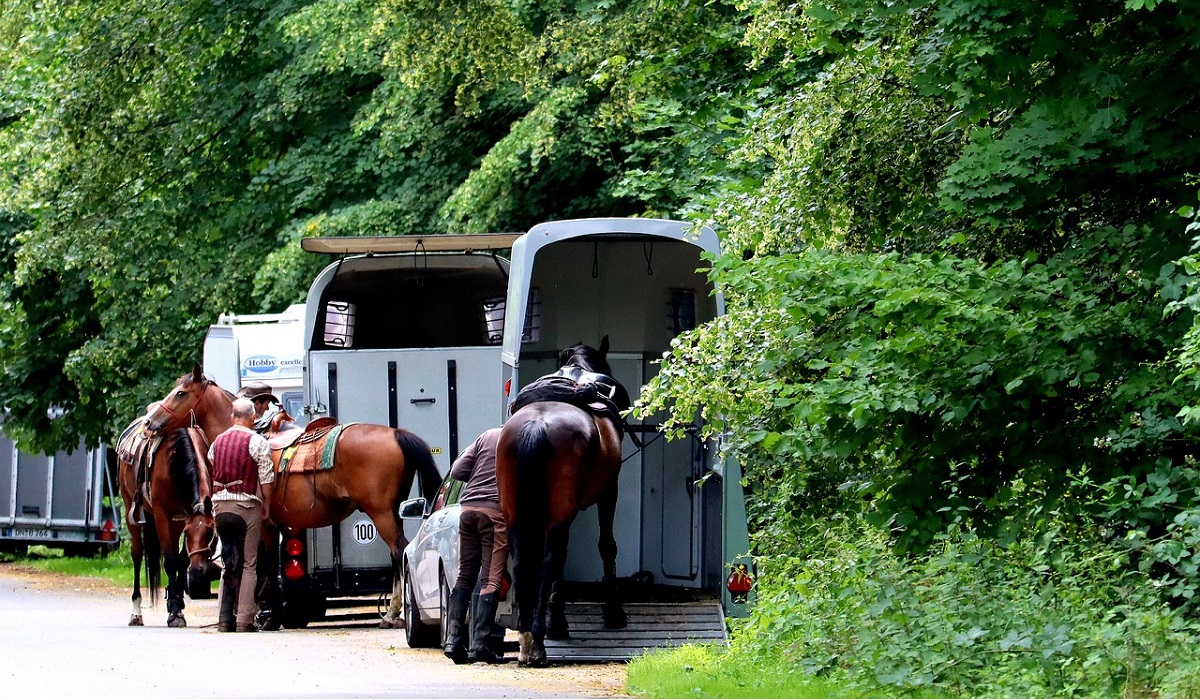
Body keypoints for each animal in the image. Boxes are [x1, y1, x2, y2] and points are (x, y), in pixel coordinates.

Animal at [115, 420, 214, 629]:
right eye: (189, 532)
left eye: (210, 531)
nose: (198, 570)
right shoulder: (162, 515)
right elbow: (170, 561)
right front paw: (175, 612)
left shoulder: (182, 518)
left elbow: (181, 560)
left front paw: (177, 603)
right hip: (131, 512)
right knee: (137, 554)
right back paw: (136, 613)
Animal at [141, 365, 441, 629]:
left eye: (181, 393)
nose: (149, 422)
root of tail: (397, 434)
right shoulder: (278, 524)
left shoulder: (264, 524)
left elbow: (265, 565)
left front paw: (269, 617)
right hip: (394, 511)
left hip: (381, 513)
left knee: (399, 551)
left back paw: (391, 615)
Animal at [494, 338, 628, 667]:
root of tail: (536, 426)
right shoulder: (609, 490)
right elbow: (606, 546)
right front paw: (613, 612)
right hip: (560, 511)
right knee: (550, 559)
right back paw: (538, 641)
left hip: (515, 512)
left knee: (525, 561)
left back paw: (528, 635)